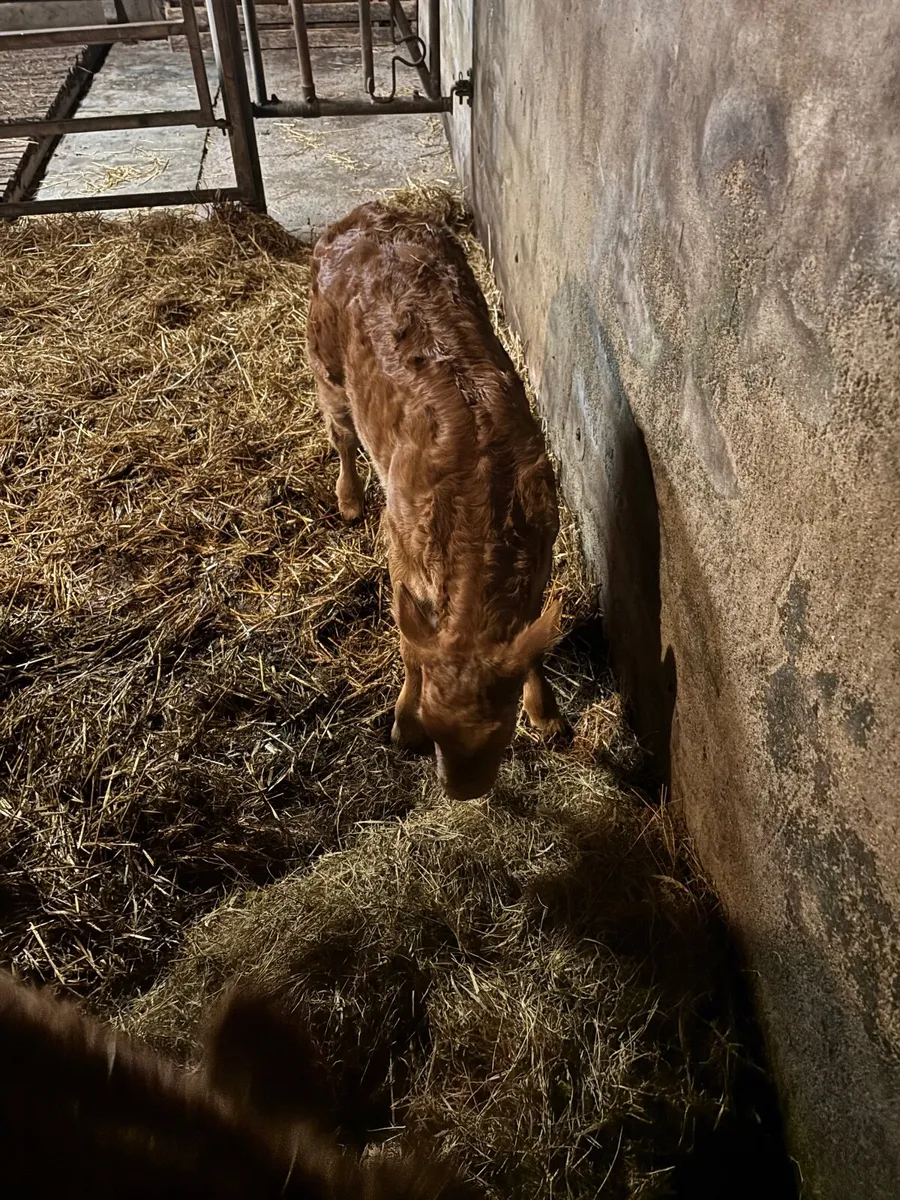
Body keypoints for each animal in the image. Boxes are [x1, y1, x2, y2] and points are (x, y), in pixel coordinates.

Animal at [307, 202, 565, 800]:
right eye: (433, 726)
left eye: (501, 729)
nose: (462, 793)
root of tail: (368, 211)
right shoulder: (400, 544)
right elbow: (410, 644)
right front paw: (400, 725)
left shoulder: (543, 543)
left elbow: (530, 635)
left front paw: (546, 715)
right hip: (324, 363)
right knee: (341, 434)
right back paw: (348, 500)